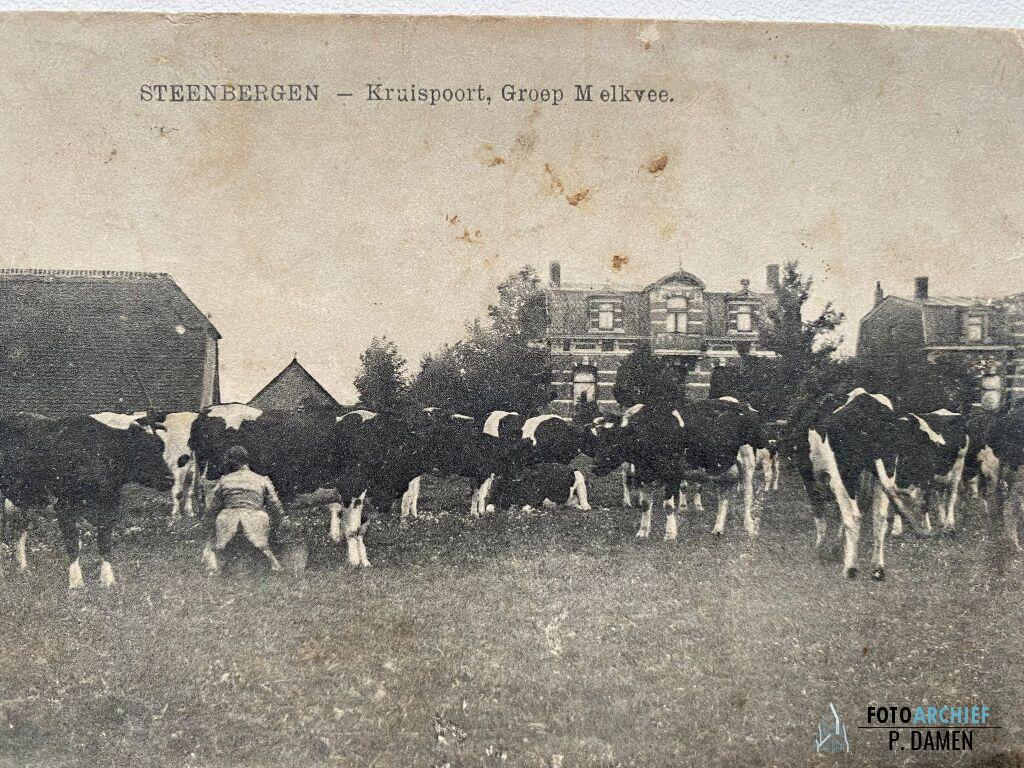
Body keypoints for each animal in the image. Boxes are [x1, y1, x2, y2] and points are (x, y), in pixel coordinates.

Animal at [0, 412, 173, 588]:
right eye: (141, 449)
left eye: (161, 446)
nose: (170, 479)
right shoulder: (64, 507)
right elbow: (73, 543)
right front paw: (76, 583)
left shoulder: (110, 506)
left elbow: (105, 543)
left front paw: (108, 580)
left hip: (23, 502)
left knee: (20, 531)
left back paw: (23, 569)